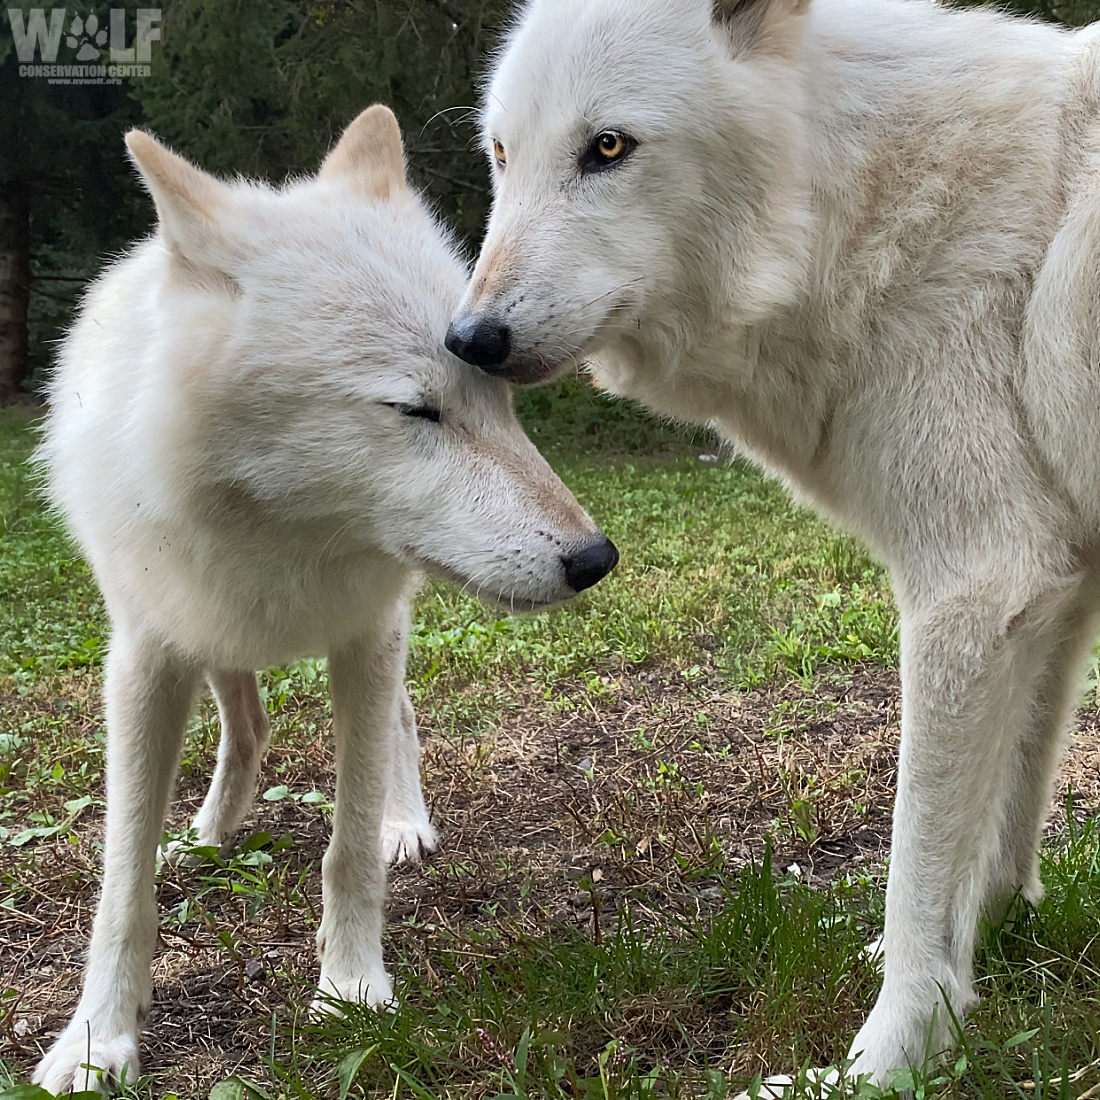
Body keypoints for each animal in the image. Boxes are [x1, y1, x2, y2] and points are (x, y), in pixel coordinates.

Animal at [33, 106, 618, 1093]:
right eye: (416, 411)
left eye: (500, 402)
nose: (595, 558)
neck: (281, 534)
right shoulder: (146, 656)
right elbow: (122, 881)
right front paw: (97, 1038)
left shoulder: (367, 637)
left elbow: (347, 846)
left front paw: (349, 991)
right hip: (210, 644)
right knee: (248, 728)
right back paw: (208, 832)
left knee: (399, 730)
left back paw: (404, 825)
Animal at [444, 0, 1100, 1085]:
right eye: (503, 153)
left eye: (607, 147)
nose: (469, 340)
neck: (863, 204)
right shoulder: (1050, 591)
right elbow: (998, 830)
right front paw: (996, 949)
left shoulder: (974, 587)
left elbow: (916, 870)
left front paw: (885, 1065)